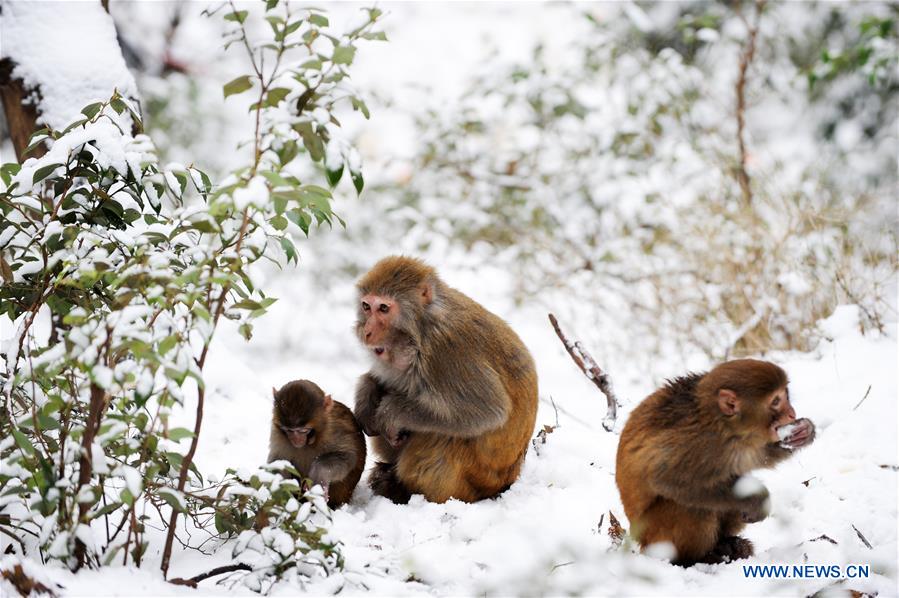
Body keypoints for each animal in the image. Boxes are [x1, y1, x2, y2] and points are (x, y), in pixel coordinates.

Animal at [268, 380, 366, 509]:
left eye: (303, 430)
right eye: (289, 430)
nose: (296, 440)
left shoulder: (335, 429)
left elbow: (349, 457)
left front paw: (319, 473)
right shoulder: (277, 433)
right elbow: (278, 461)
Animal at [352, 255, 538, 504]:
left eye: (383, 308)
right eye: (366, 306)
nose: (367, 332)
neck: (423, 325)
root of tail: (508, 481)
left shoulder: (447, 351)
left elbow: (490, 411)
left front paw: (391, 412)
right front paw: (367, 391)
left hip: (474, 482)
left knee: (444, 435)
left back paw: (402, 489)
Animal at [615, 359, 816, 566]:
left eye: (785, 395)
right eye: (775, 401)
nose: (792, 414)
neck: (721, 423)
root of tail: (639, 540)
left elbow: (750, 458)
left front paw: (804, 432)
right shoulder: (697, 442)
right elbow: (667, 480)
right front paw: (757, 501)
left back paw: (729, 544)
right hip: (654, 533)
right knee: (689, 506)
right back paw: (693, 559)